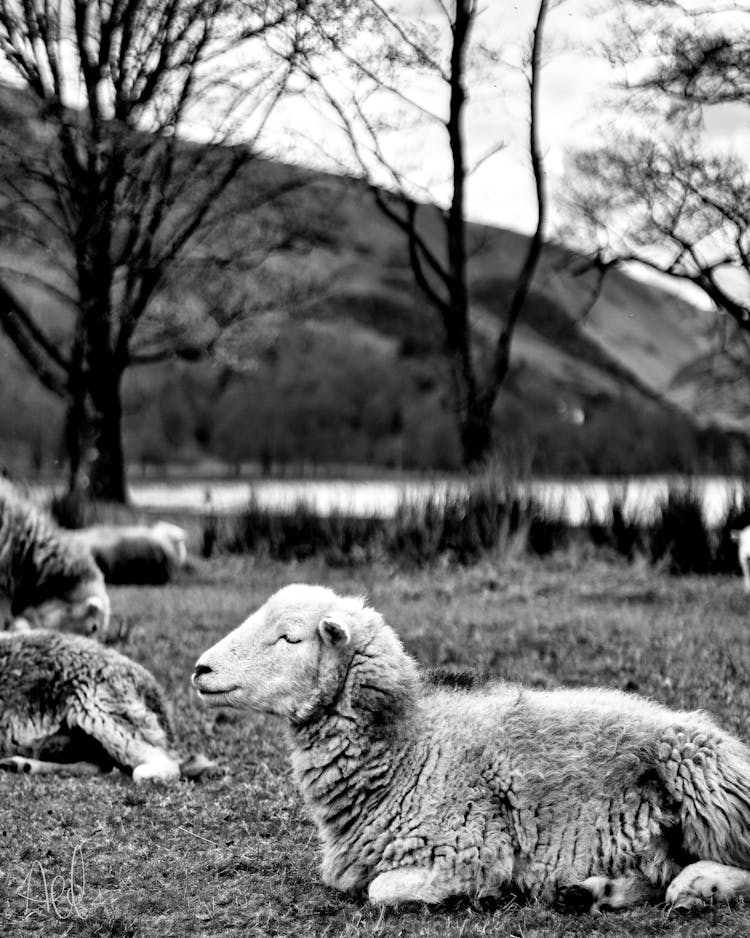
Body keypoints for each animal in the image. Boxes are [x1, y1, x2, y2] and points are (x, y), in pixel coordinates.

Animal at [195, 580, 750, 912]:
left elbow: (381, 889)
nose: (200, 669)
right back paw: (594, 890)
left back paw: (698, 886)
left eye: (289, 639)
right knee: (654, 874)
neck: (412, 747)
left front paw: (484, 893)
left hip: (700, 774)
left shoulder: (469, 848)